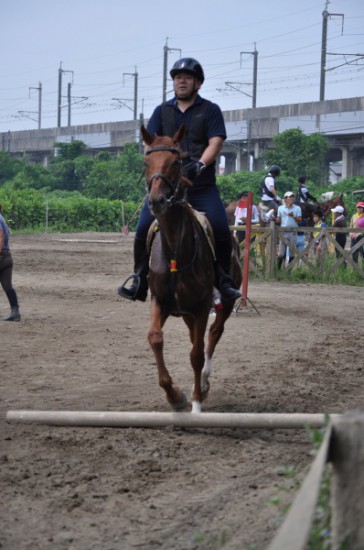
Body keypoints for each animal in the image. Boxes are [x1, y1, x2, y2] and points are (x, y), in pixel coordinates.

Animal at [142, 125, 242, 416]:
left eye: (176, 162)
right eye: (146, 163)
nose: (157, 200)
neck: (176, 250)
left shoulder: (202, 305)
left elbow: (196, 354)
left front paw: (196, 402)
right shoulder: (160, 301)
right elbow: (155, 338)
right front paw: (175, 396)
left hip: (224, 302)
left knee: (213, 334)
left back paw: (206, 382)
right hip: (186, 312)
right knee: (195, 336)